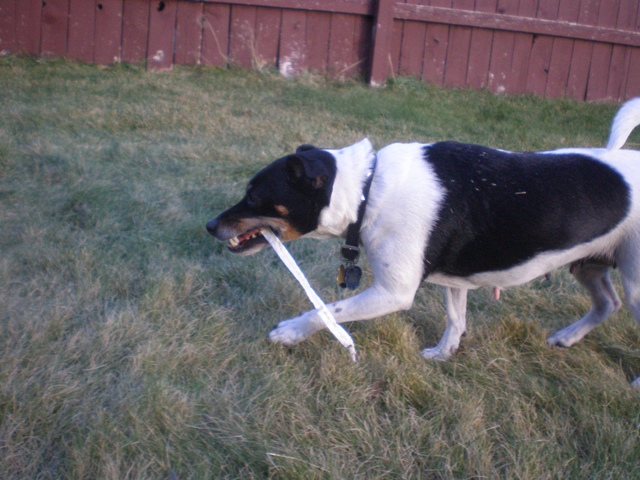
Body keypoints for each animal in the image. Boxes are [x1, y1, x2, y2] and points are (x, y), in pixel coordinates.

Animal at [206, 97, 640, 386]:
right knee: (607, 302)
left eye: (254, 197)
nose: (210, 226)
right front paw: (444, 354)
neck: (367, 189)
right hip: (591, 264)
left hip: (635, 282)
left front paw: (290, 333)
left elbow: (328, 311)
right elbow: (456, 319)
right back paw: (567, 338)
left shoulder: (394, 292)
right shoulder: (455, 278)